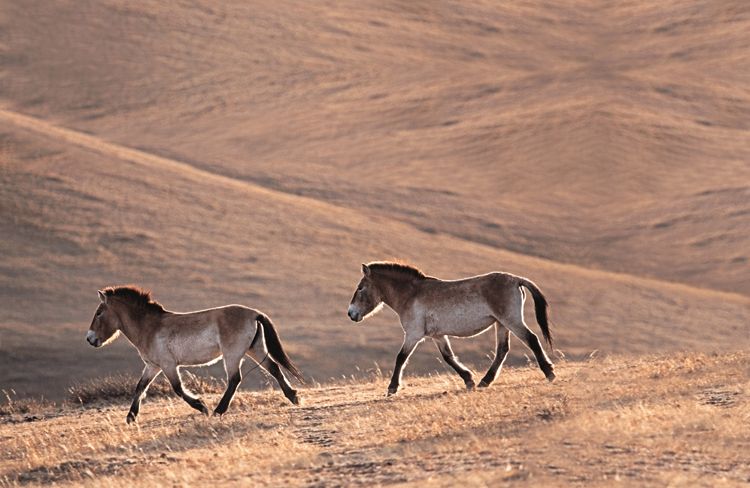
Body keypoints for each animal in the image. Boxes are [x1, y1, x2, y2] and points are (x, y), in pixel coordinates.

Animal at [85, 286, 302, 424]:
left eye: (99, 312)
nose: (90, 339)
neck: (150, 327)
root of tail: (254, 313)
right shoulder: (152, 366)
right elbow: (140, 387)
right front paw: (131, 417)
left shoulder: (168, 365)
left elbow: (178, 389)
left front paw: (201, 406)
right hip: (255, 350)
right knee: (274, 368)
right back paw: (293, 397)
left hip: (232, 355)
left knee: (235, 379)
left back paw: (217, 411)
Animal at [350, 264, 556, 396]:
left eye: (360, 288)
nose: (351, 313)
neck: (411, 294)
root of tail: (515, 280)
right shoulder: (438, 336)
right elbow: (448, 357)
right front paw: (468, 380)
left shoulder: (413, 335)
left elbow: (401, 358)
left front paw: (392, 388)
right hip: (502, 324)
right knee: (502, 351)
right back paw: (484, 381)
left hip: (511, 321)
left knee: (532, 339)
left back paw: (549, 373)